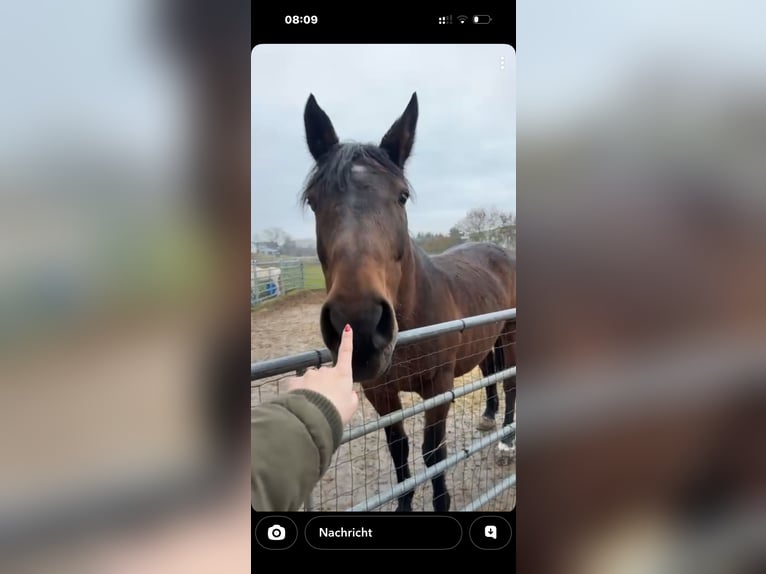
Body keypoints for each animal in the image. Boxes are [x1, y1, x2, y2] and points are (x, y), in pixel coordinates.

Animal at [301, 92, 517, 511]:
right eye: (314, 202)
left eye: (401, 196)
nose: (359, 322)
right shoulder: (380, 393)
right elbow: (398, 450)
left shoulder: (438, 388)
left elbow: (433, 453)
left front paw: (441, 501)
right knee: (490, 373)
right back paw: (488, 416)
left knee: (512, 384)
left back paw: (505, 443)